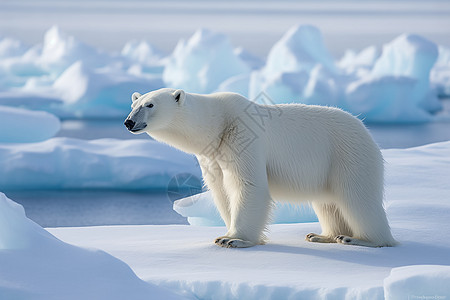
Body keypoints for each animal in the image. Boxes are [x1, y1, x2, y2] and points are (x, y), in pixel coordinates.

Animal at [125, 88, 396, 248]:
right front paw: (226, 231)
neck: (218, 125)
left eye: (150, 105)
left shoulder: (241, 137)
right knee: (328, 203)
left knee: (357, 198)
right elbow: (221, 191)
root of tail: (366, 131)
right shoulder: (213, 155)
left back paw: (361, 239)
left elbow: (247, 185)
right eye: (134, 104)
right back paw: (322, 235)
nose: (128, 122)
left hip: (347, 155)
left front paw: (233, 239)